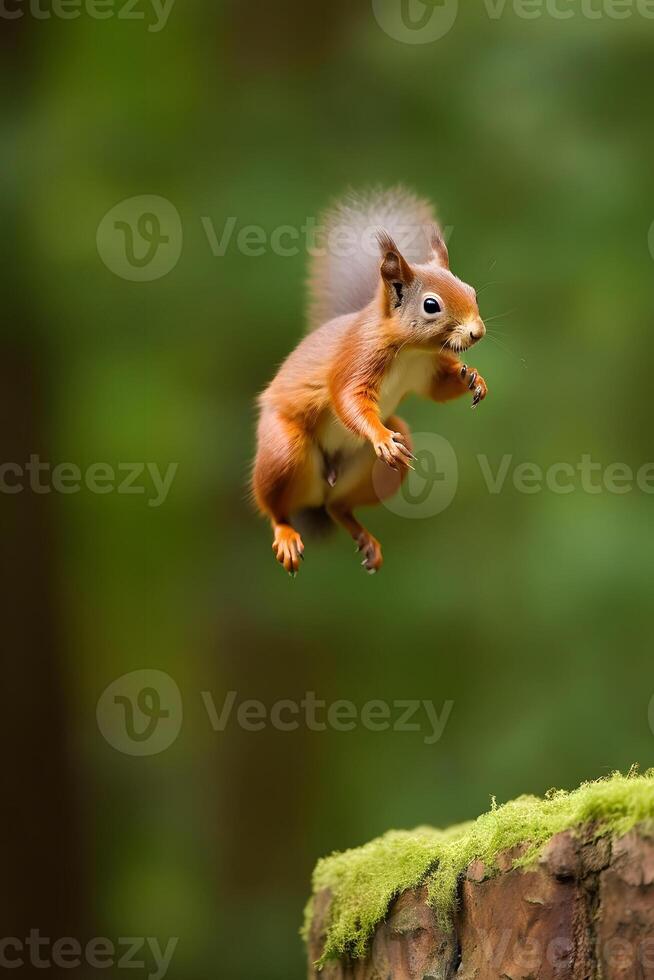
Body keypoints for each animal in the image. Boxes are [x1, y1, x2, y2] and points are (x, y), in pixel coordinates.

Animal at [254, 186, 490, 576]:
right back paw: (285, 532)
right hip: (282, 451)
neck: (411, 351)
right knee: (275, 507)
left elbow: (438, 390)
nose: (477, 332)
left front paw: (472, 377)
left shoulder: (426, 370)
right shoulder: (358, 358)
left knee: (338, 507)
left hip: (371, 470)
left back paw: (362, 535)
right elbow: (348, 396)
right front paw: (381, 438)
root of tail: (322, 486)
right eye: (431, 305)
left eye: (471, 291)